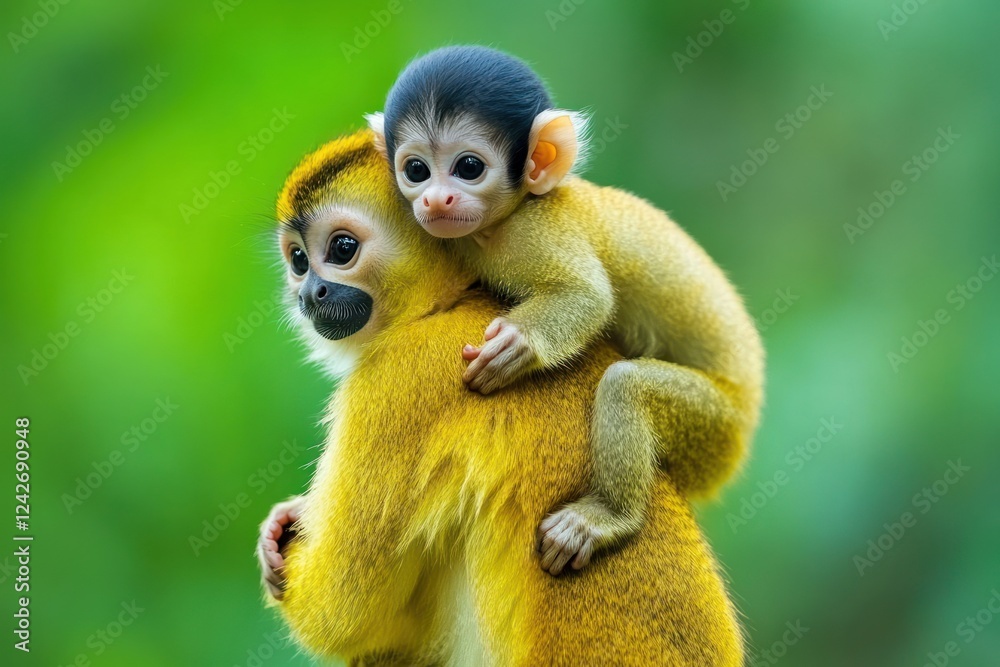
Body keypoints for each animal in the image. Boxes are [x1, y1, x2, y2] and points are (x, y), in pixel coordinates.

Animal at [258, 129, 745, 665]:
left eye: (342, 248)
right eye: (298, 261)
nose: (310, 294)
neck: (450, 301)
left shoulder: (397, 379)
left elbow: (341, 614)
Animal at [364, 45, 765, 573]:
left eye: (468, 167)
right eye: (416, 171)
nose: (435, 198)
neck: (502, 221)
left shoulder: (536, 229)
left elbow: (588, 296)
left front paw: (515, 345)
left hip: (715, 431)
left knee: (626, 384)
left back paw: (609, 517)